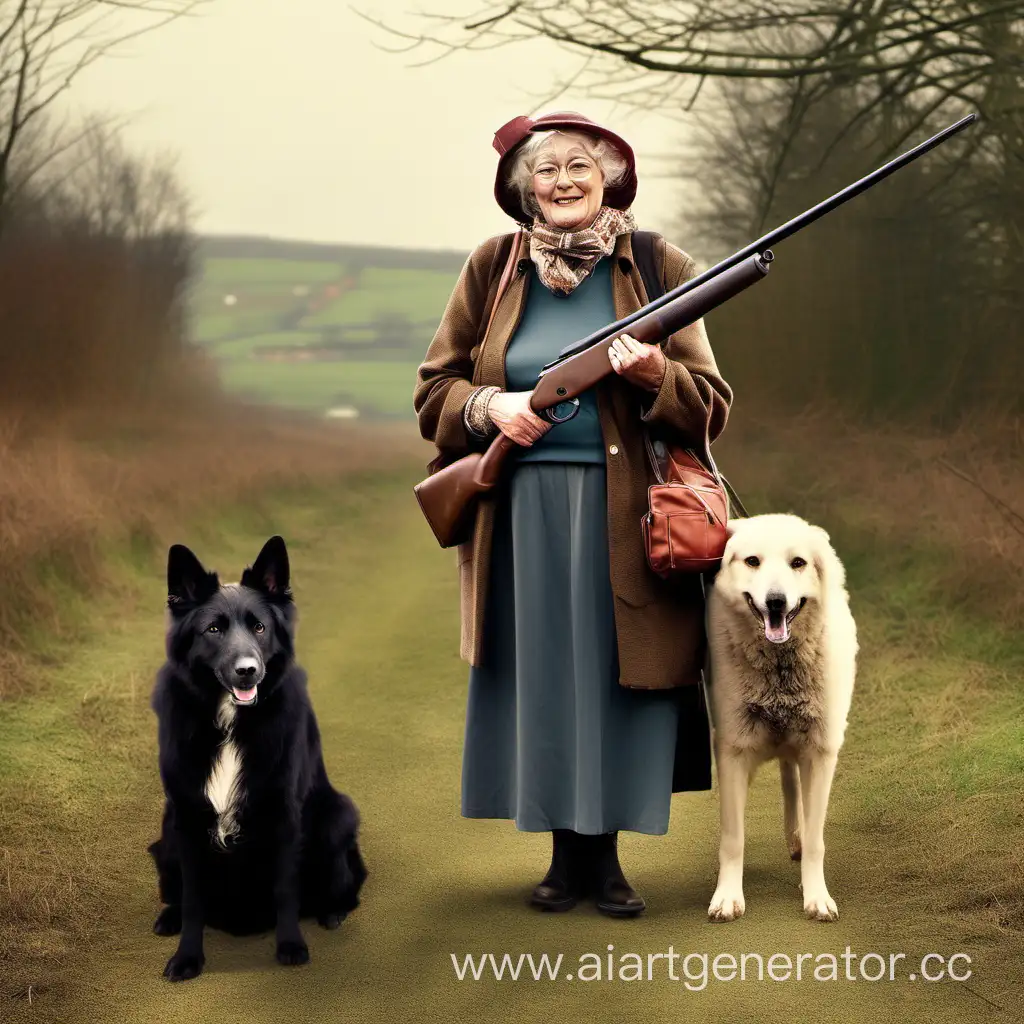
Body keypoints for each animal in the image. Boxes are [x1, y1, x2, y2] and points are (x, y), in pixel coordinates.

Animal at [148, 532, 364, 978]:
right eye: (214, 629)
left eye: (260, 627)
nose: (249, 670)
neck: (231, 722)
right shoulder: (187, 817)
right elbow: (193, 899)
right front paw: (187, 957)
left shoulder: (282, 810)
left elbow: (285, 889)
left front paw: (291, 946)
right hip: (166, 833)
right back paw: (168, 917)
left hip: (337, 816)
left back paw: (332, 912)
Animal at [704, 512, 856, 921]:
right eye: (752, 561)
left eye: (798, 563)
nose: (776, 601)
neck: (779, 670)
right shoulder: (733, 751)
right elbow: (733, 838)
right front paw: (728, 897)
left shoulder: (819, 753)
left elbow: (817, 839)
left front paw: (816, 897)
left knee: (792, 786)